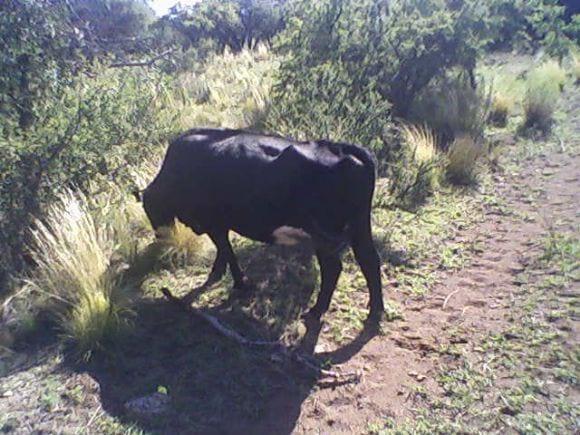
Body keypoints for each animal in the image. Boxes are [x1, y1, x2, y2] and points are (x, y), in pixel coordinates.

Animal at [143, 127, 382, 322]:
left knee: (333, 268)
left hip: (323, 234)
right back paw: (375, 310)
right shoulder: (219, 223)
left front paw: (239, 283)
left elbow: (226, 250)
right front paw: (220, 275)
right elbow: (223, 250)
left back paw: (317, 310)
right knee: (369, 260)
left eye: (151, 210)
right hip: (360, 226)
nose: (160, 236)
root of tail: (341, 148)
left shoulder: (212, 222)